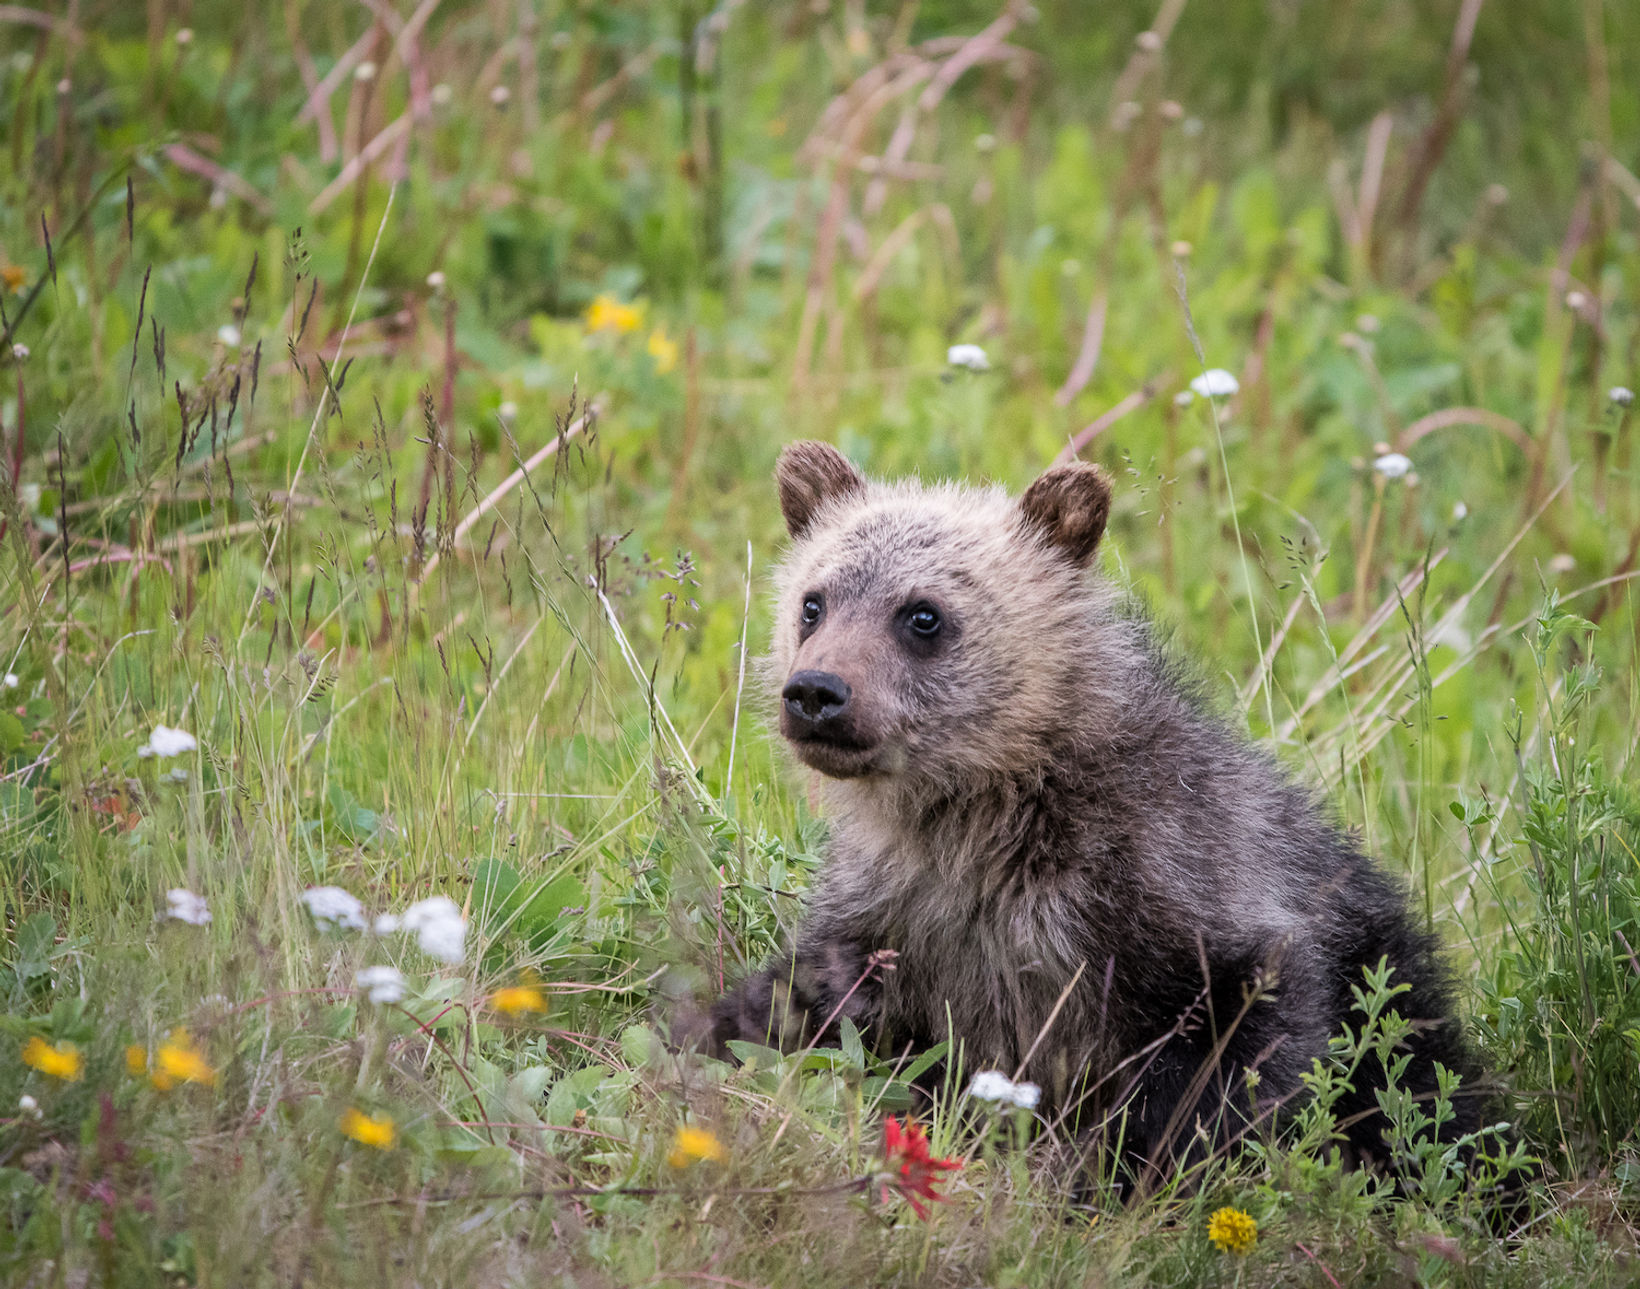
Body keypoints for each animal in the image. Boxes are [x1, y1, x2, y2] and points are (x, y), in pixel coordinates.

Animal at [705, 440, 1500, 1198]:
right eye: (814, 602)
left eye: (923, 614)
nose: (816, 692)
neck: (982, 828)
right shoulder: (891, 916)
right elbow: (799, 1010)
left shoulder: (1183, 892)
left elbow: (1233, 1063)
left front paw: (1114, 1170)